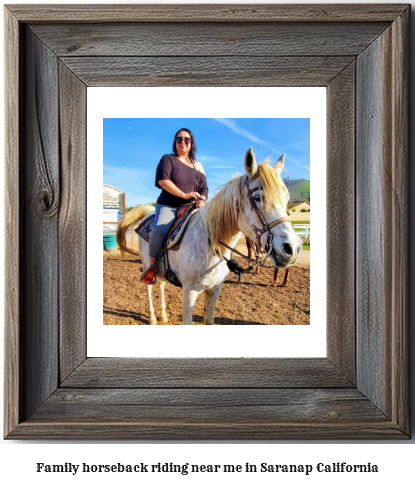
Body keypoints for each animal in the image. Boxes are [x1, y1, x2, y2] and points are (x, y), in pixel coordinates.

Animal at [117, 148, 302, 324]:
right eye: (257, 197)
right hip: (146, 264)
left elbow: (209, 320)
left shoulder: (215, 290)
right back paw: (153, 318)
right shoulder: (189, 291)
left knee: (161, 285)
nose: (292, 249)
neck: (210, 244)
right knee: (149, 287)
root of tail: (148, 213)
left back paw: (163, 316)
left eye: (286, 200)